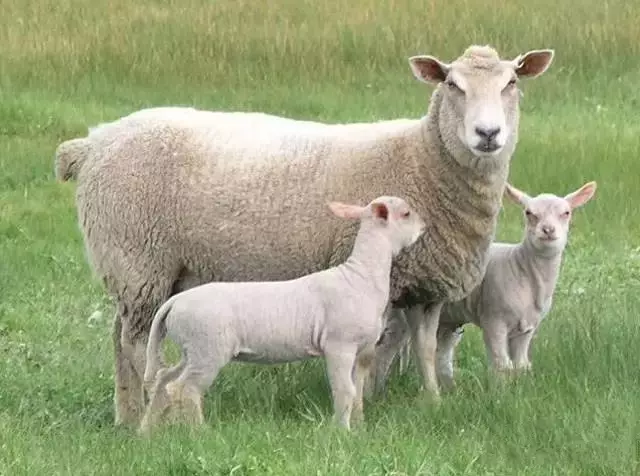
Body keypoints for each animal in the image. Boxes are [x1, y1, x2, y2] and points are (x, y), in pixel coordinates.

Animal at [137, 195, 424, 434]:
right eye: (406, 213)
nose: (424, 227)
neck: (360, 276)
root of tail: (174, 301)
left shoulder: (363, 349)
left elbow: (358, 391)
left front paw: (359, 426)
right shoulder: (339, 346)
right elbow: (344, 390)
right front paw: (341, 431)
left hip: (192, 349)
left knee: (164, 379)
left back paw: (146, 430)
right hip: (207, 348)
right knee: (184, 388)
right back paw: (199, 432)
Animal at [372, 180, 596, 392]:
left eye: (566, 213)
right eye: (529, 213)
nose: (548, 230)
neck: (523, 270)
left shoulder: (527, 329)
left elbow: (521, 366)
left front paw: (520, 391)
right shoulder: (494, 320)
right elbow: (501, 365)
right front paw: (501, 395)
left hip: (447, 320)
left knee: (440, 354)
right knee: (387, 349)